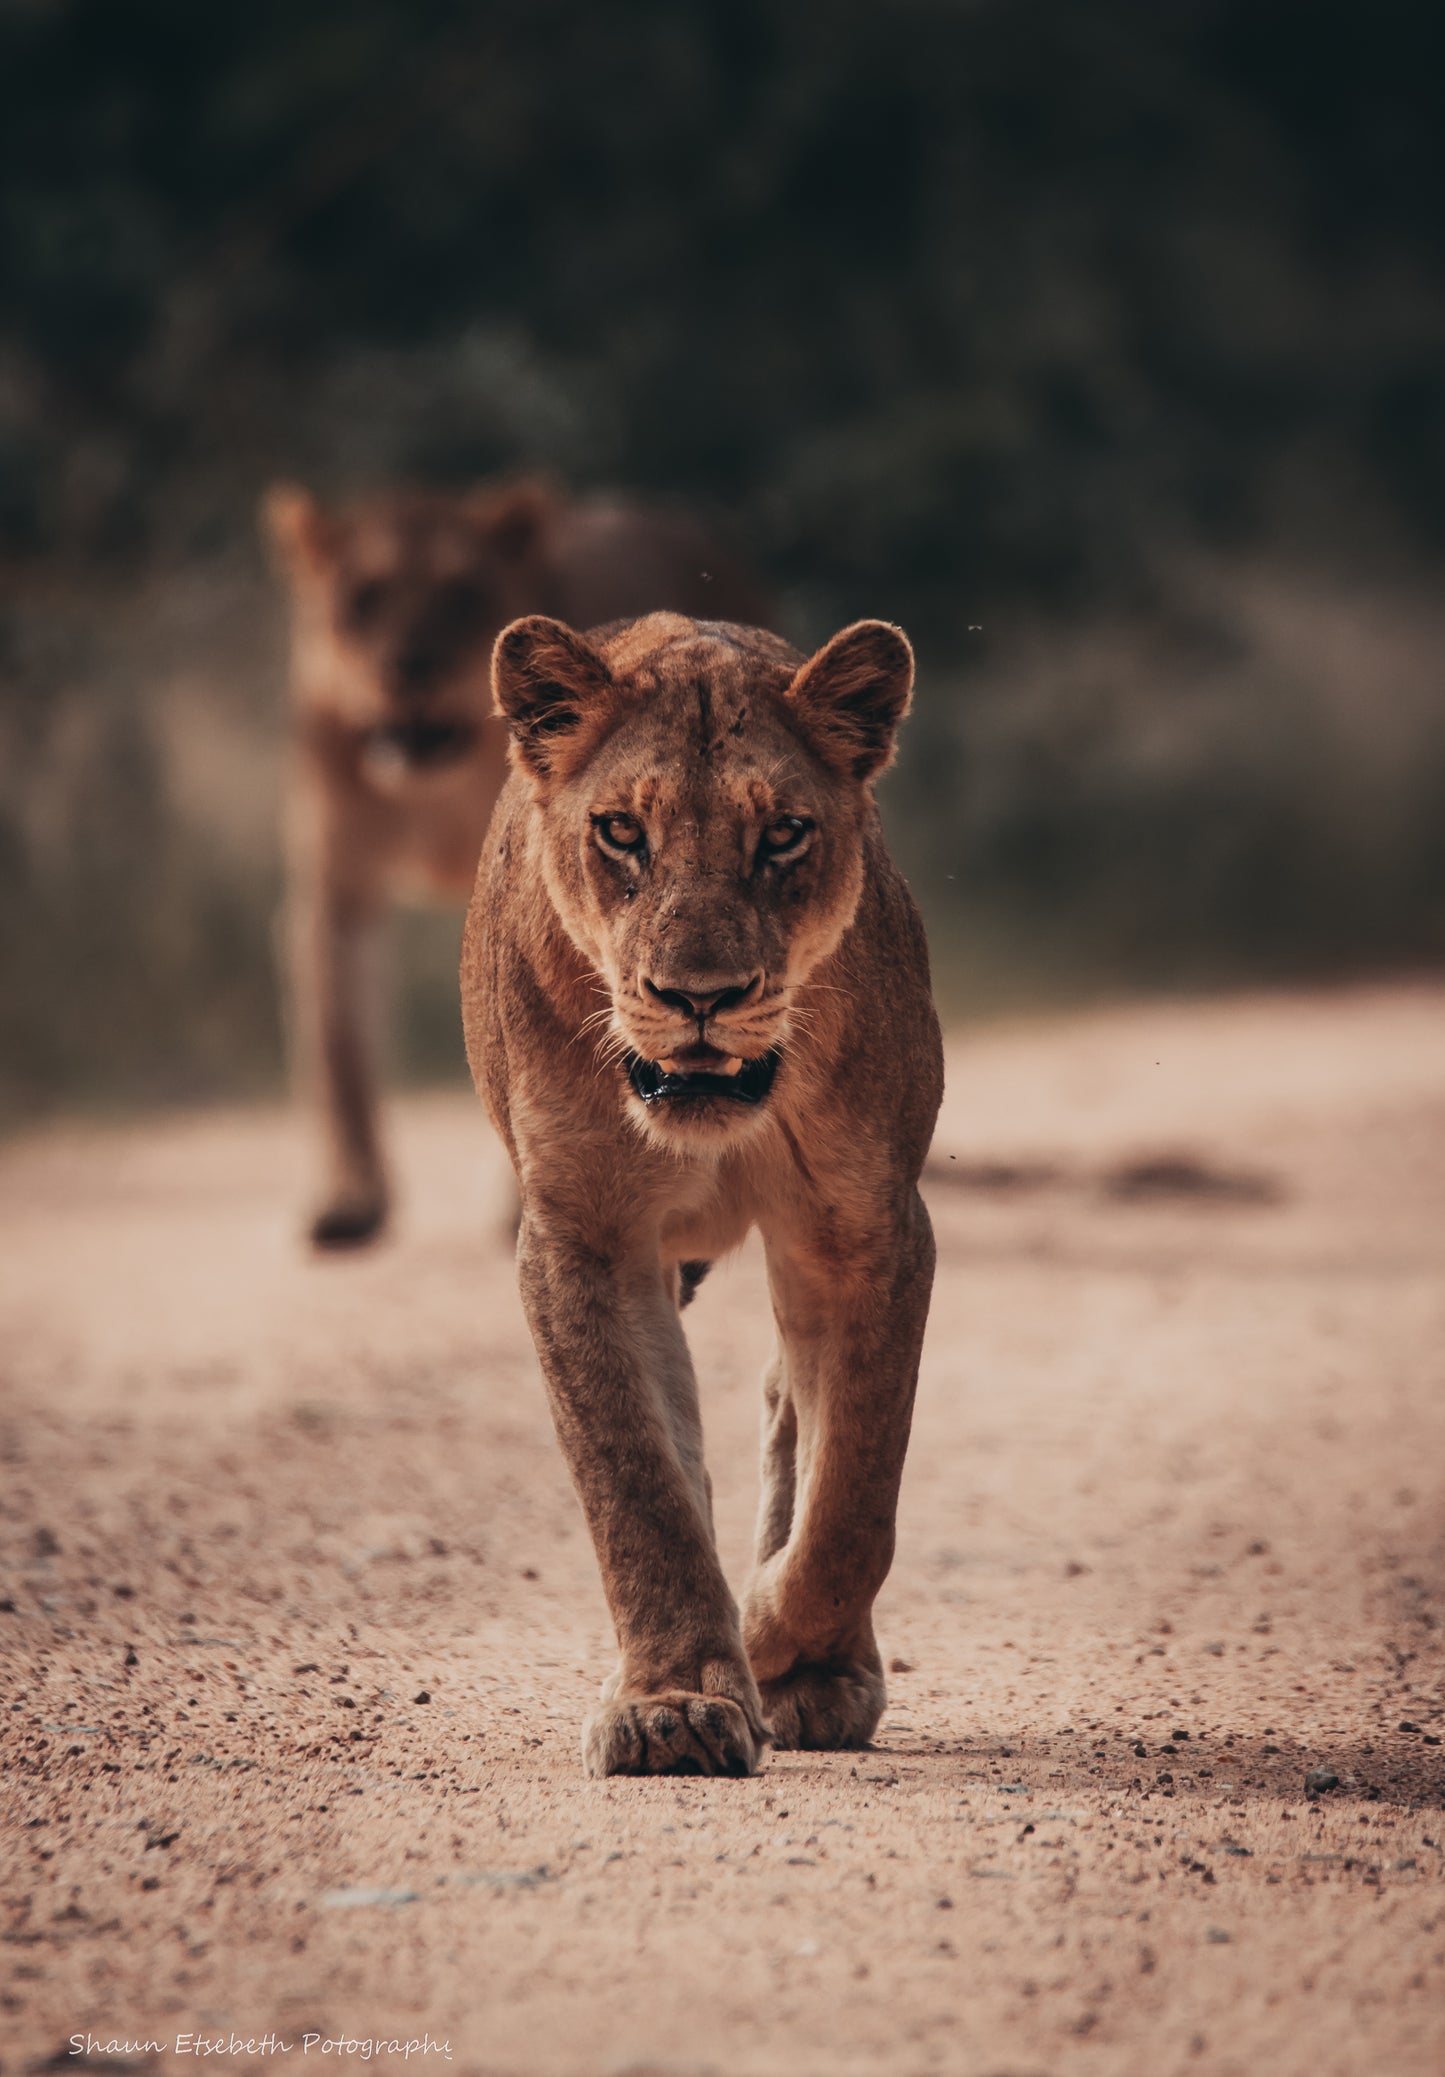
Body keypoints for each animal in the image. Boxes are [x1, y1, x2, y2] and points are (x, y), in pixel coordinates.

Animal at [265, 478, 767, 1247]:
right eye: (362, 598)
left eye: (463, 594)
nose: (409, 666)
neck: (435, 787)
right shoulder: (335, 893)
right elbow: (339, 1052)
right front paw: (349, 1200)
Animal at [460, 608, 943, 1775]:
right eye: (620, 832)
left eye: (782, 835)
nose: (699, 997)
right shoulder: (581, 1235)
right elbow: (635, 1477)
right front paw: (673, 1701)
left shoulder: (867, 1226)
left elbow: (854, 1494)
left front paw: (772, 1641)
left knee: (790, 1406)